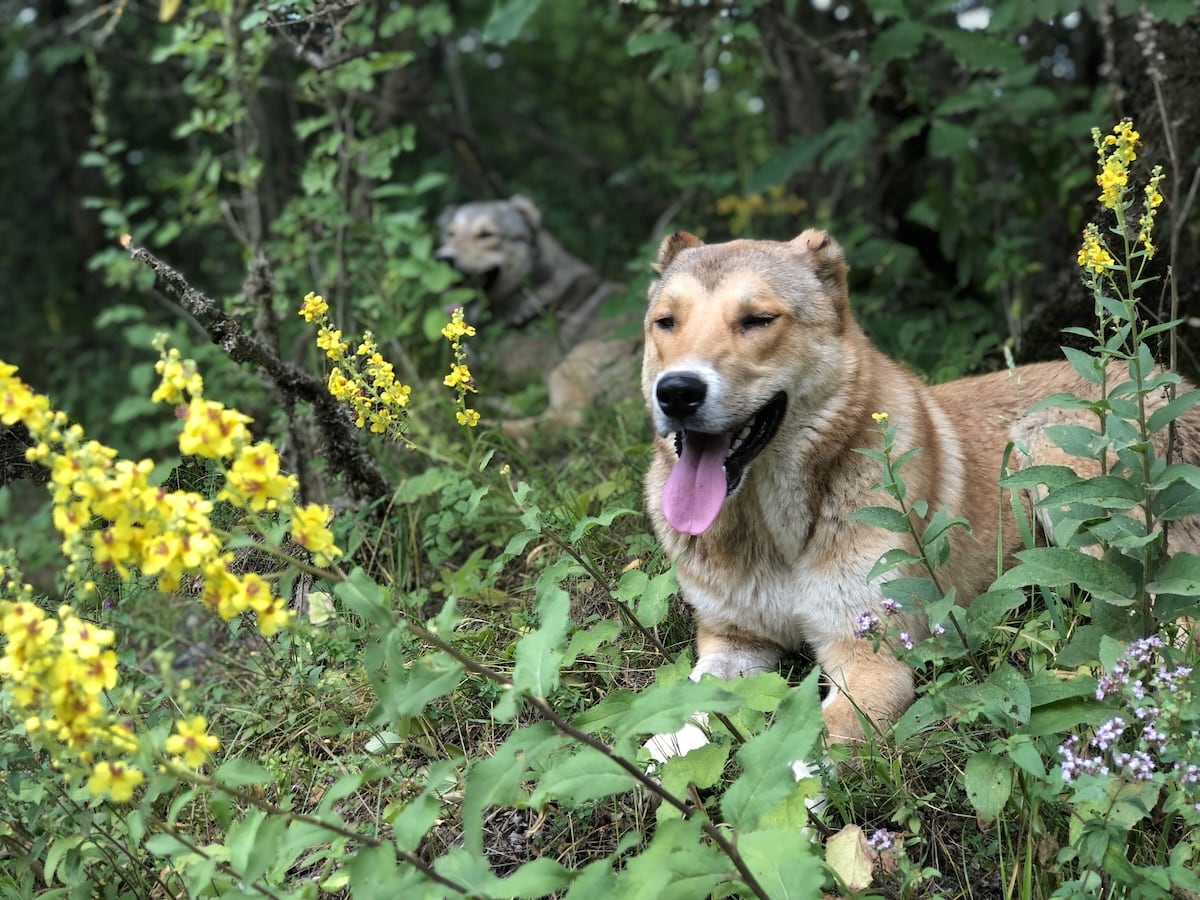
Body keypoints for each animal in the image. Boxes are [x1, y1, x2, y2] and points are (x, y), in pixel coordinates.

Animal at [643, 226, 1200, 748]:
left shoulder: (870, 660)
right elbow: (690, 701)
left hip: (1061, 466)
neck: (772, 533)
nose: (676, 392)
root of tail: (1170, 383)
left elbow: (804, 756)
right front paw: (663, 747)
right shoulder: (733, 641)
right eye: (665, 322)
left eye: (758, 319)